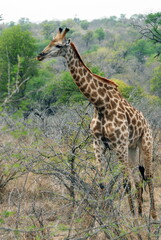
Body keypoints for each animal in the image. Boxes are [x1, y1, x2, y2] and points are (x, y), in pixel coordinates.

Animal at [37, 27, 157, 218]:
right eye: (50, 41)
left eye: (58, 45)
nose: (40, 55)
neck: (100, 104)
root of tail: (146, 121)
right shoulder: (98, 143)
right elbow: (102, 182)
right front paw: (102, 218)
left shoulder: (119, 143)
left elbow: (125, 181)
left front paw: (131, 220)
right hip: (132, 148)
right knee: (139, 179)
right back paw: (139, 213)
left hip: (146, 143)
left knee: (148, 176)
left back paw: (151, 215)